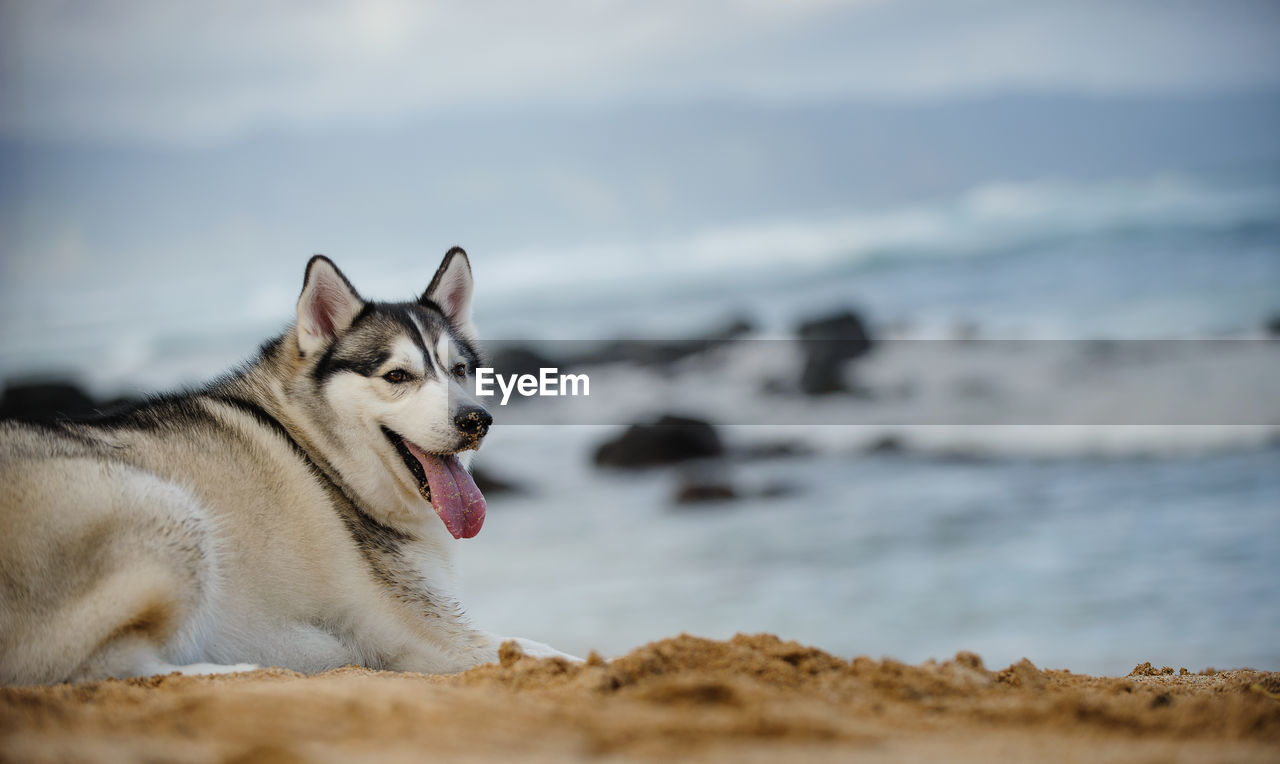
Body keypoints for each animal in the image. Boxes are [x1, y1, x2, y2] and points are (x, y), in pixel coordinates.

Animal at [0, 246, 576, 680]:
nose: (477, 420)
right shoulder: (432, 637)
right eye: (397, 376)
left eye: (459, 370)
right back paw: (238, 672)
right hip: (169, 511)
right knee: (111, 667)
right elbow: (548, 652)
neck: (324, 457)